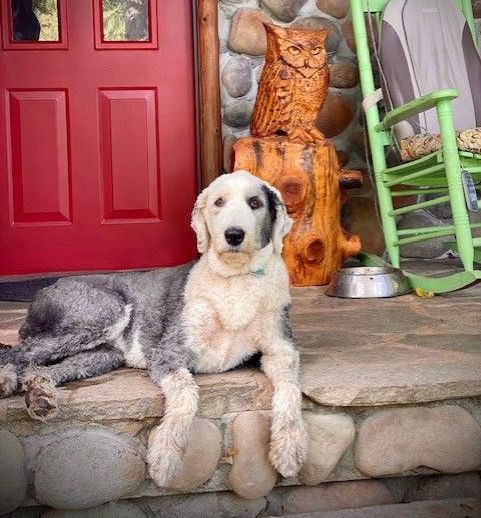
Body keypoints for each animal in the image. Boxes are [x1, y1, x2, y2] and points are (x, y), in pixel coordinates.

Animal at [0, 171, 308, 488]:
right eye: (218, 202)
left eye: (255, 202)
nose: (233, 235)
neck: (235, 279)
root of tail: (47, 287)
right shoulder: (168, 352)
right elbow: (186, 394)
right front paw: (165, 457)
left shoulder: (281, 350)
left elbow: (290, 389)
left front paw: (289, 451)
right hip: (101, 314)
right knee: (16, 353)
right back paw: (7, 380)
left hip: (102, 355)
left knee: (40, 367)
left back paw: (40, 394)